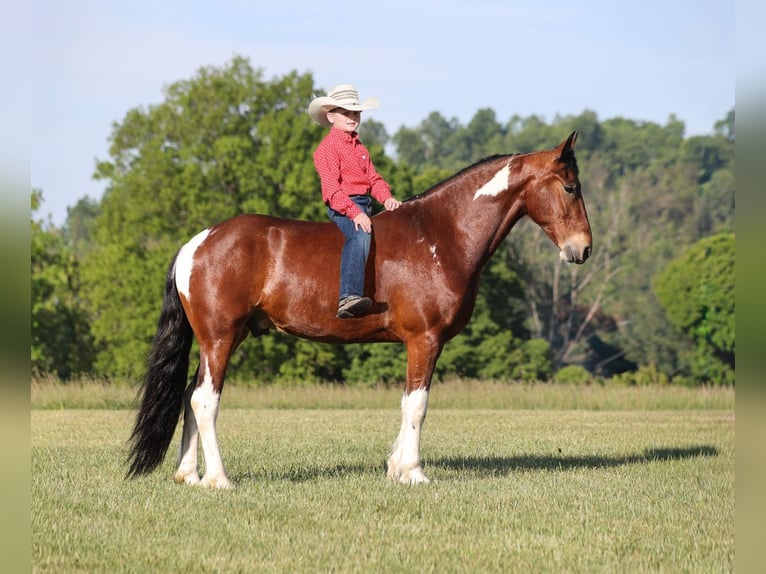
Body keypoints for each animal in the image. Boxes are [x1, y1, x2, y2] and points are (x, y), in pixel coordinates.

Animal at [127, 131, 591, 488]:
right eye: (571, 187)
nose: (584, 249)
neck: (440, 235)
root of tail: (198, 242)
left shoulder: (419, 343)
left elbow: (407, 402)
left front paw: (396, 468)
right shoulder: (425, 339)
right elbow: (417, 405)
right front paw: (413, 472)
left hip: (220, 340)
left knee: (188, 396)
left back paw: (189, 475)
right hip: (220, 338)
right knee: (205, 400)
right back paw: (219, 479)